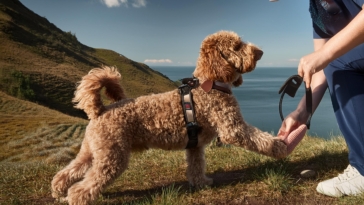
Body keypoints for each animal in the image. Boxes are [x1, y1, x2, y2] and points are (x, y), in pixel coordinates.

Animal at [50, 30, 288, 205]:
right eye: (237, 46)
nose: (260, 52)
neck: (210, 83)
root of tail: (100, 109)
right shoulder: (233, 128)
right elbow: (259, 139)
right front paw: (280, 147)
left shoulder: (195, 145)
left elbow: (196, 166)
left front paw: (200, 182)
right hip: (112, 157)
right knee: (85, 185)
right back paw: (76, 198)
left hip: (93, 151)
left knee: (68, 171)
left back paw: (58, 190)